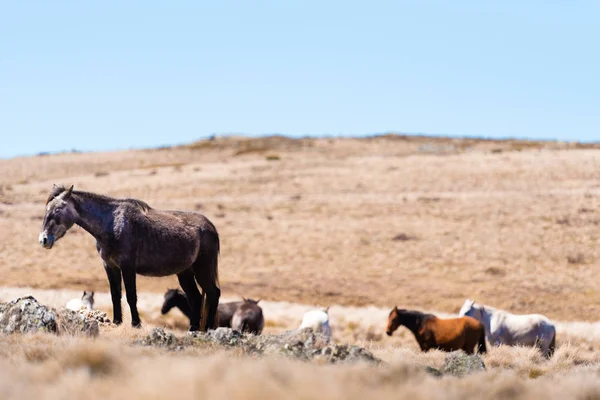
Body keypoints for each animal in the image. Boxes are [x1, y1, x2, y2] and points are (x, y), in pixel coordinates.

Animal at [38, 184, 220, 332]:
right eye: (46, 210)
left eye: (58, 209)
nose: (43, 240)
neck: (111, 224)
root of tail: (211, 227)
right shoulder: (110, 266)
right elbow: (115, 294)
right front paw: (117, 321)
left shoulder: (127, 267)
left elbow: (131, 296)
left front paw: (136, 324)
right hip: (185, 273)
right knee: (196, 298)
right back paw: (193, 328)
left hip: (203, 269)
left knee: (213, 293)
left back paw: (209, 328)